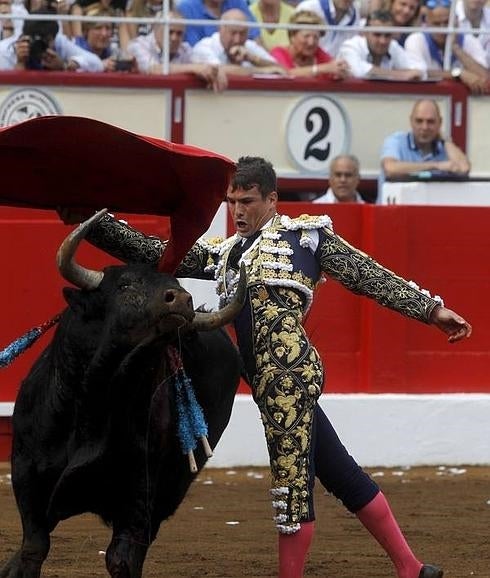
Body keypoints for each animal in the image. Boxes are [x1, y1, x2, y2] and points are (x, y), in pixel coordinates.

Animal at [0, 215, 245, 572]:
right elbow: (34, 546)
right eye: (125, 285)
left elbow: (123, 559)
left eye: (175, 282)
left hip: (171, 489)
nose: (181, 299)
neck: (99, 397)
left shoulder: (140, 492)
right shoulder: (26, 475)